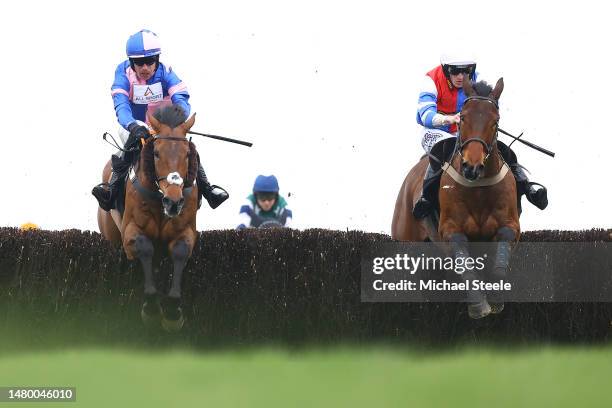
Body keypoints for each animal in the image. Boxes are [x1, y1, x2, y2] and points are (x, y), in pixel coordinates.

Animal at [96, 103, 198, 330]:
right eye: (156, 153)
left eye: (188, 154)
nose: (173, 202)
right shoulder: (130, 231)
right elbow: (145, 248)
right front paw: (151, 309)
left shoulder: (185, 229)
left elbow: (180, 251)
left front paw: (172, 312)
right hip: (110, 234)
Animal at [392, 76, 520, 318]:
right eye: (462, 117)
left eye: (496, 121)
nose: (472, 166)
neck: (478, 188)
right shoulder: (450, 229)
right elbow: (464, 263)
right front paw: (478, 304)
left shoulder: (510, 225)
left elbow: (502, 251)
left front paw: (496, 297)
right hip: (405, 239)